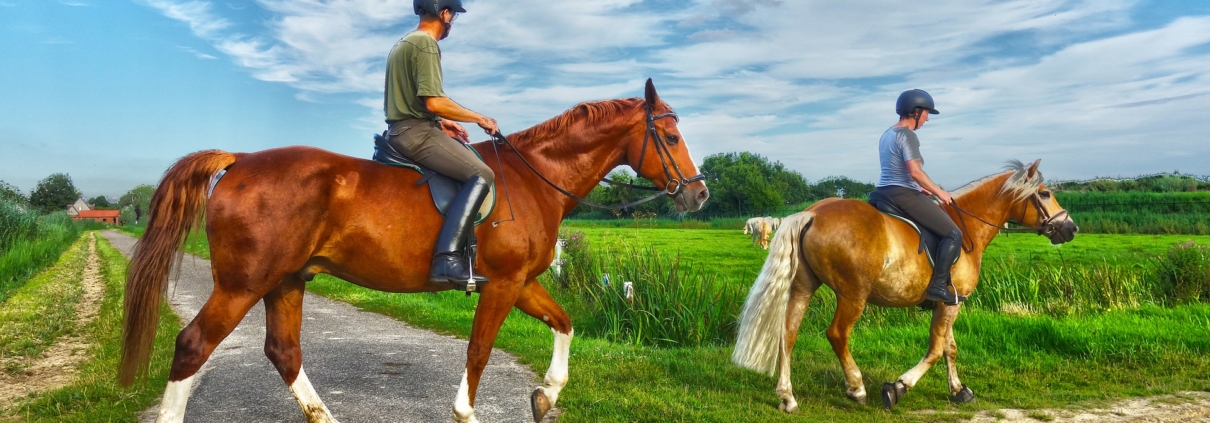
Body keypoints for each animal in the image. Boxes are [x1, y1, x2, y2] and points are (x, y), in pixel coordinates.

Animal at [117, 80, 706, 423]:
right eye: (672, 137)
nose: (698, 195)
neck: (533, 179)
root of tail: (239, 159)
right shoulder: (503, 284)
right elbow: (478, 352)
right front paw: (468, 412)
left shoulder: (523, 283)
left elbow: (564, 324)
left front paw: (546, 396)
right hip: (243, 284)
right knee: (193, 346)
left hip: (286, 281)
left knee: (283, 352)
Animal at [726, 159, 1079, 413]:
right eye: (1044, 193)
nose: (1071, 228)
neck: (966, 228)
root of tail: (812, 213)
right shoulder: (951, 303)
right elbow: (935, 350)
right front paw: (897, 388)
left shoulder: (949, 302)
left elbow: (949, 347)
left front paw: (958, 390)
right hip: (853, 295)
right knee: (837, 334)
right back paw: (857, 388)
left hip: (803, 288)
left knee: (788, 335)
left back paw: (788, 398)